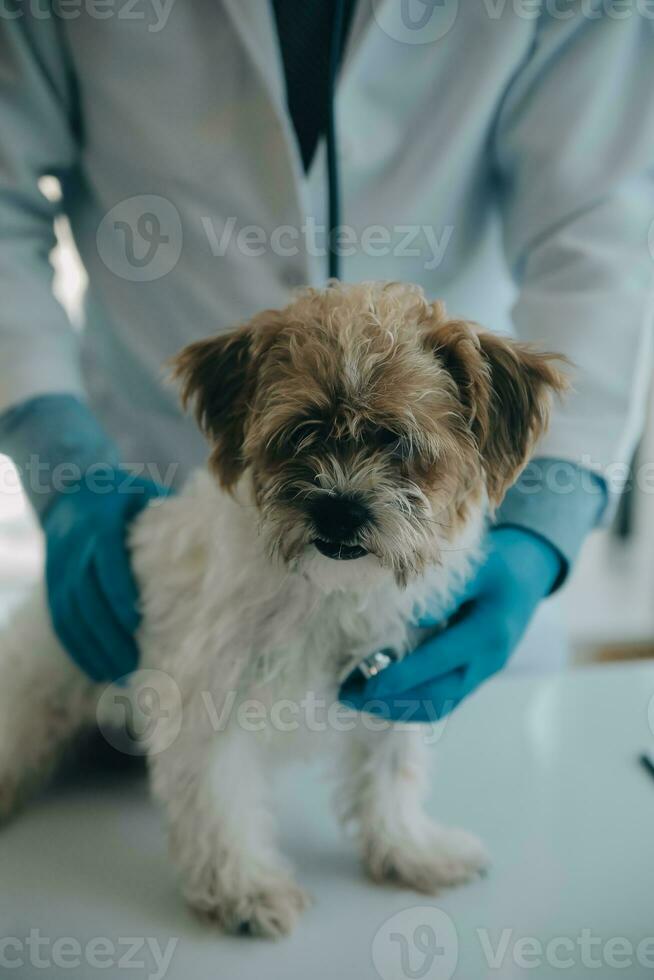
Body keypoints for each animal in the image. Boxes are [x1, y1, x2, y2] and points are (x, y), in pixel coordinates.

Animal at [0, 282, 568, 936]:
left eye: (397, 441)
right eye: (301, 432)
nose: (340, 509)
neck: (327, 590)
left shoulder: (395, 681)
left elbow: (390, 777)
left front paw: (409, 851)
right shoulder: (205, 702)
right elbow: (219, 803)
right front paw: (245, 889)